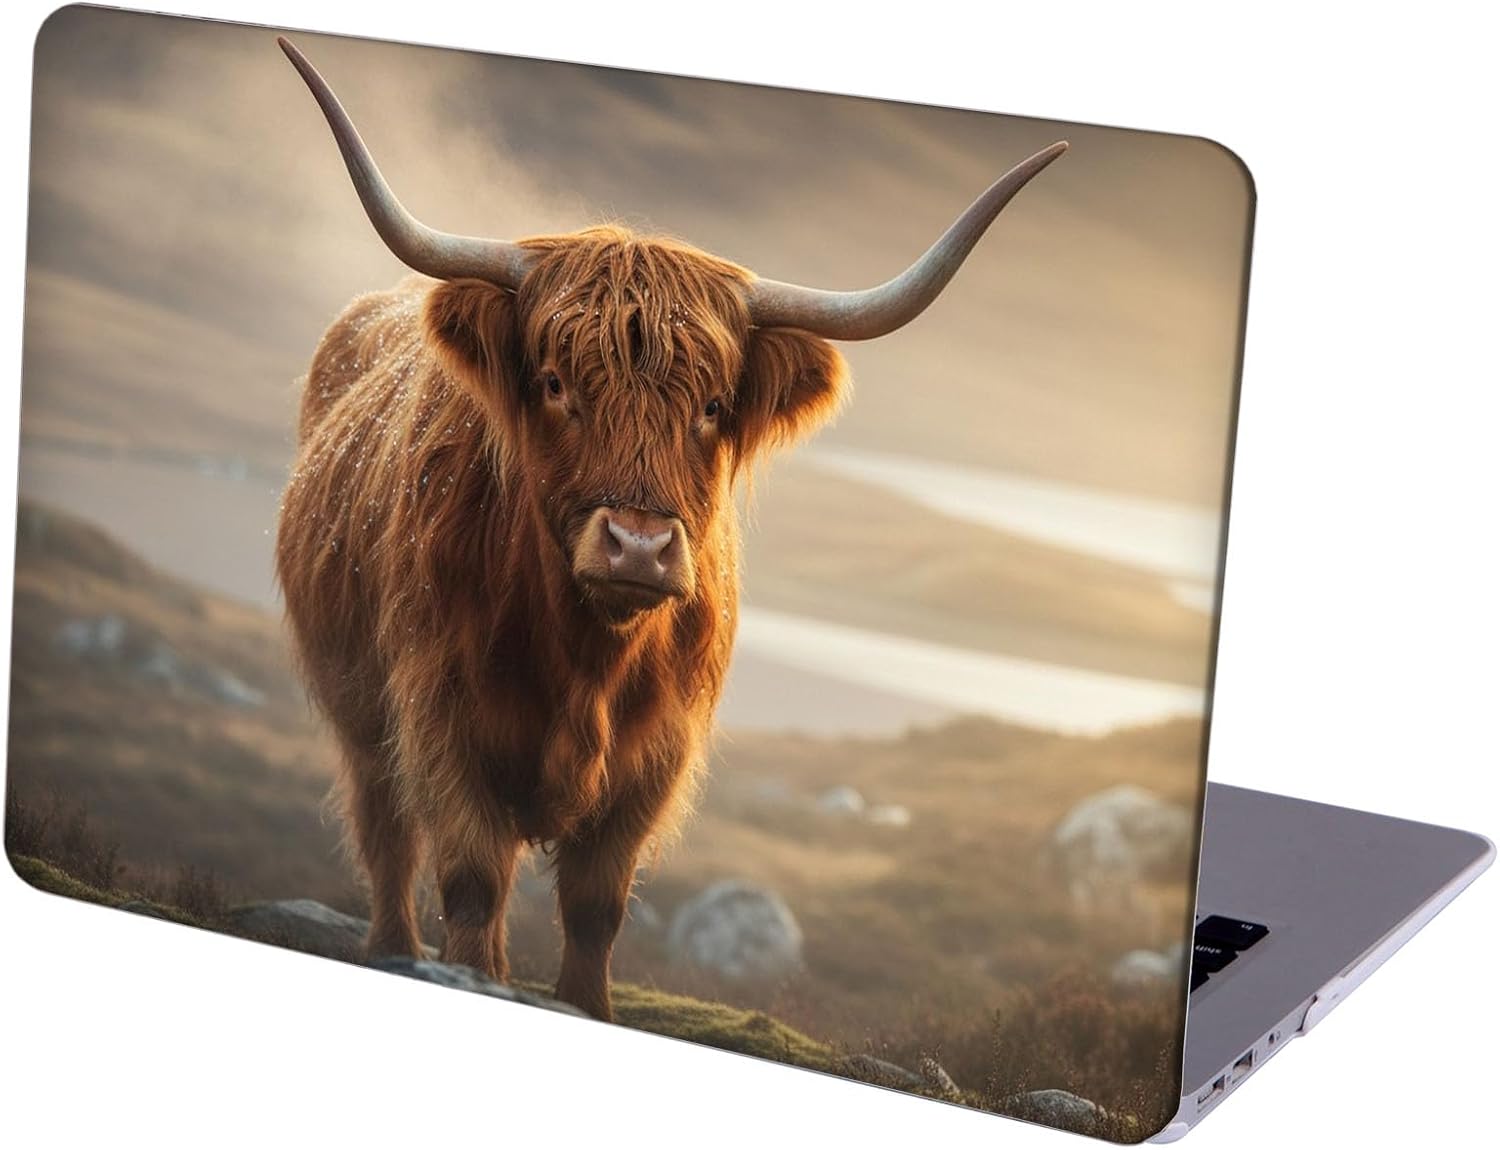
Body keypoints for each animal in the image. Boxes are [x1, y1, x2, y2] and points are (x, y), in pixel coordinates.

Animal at [273, 37, 1065, 1020]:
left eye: (715, 406)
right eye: (553, 382)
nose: (639, 546)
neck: (586, 659)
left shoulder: (655, 762)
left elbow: (596, 908)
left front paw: (588, 1003)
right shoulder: (440, 718)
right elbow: (472, 883)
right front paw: (473, 972)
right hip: (359, 712)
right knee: (385, 835)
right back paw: (391, 947)